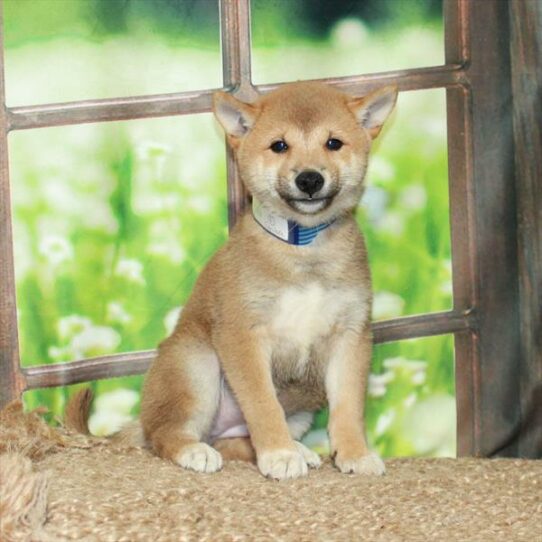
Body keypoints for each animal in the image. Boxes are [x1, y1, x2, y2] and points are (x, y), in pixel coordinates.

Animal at [141, 81, 400, 480]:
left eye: (334, 143)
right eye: (279, 145)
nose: (309, 179)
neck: (304, 249)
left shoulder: (351, 335)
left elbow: (348, 407)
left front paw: (354, 453)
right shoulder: (242, 335)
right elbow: (263, 404)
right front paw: (278, 453)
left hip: (300, 410)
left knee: (236, 442)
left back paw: (299, 449)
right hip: (197, 365)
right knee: (165, 433)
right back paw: (196, 451)